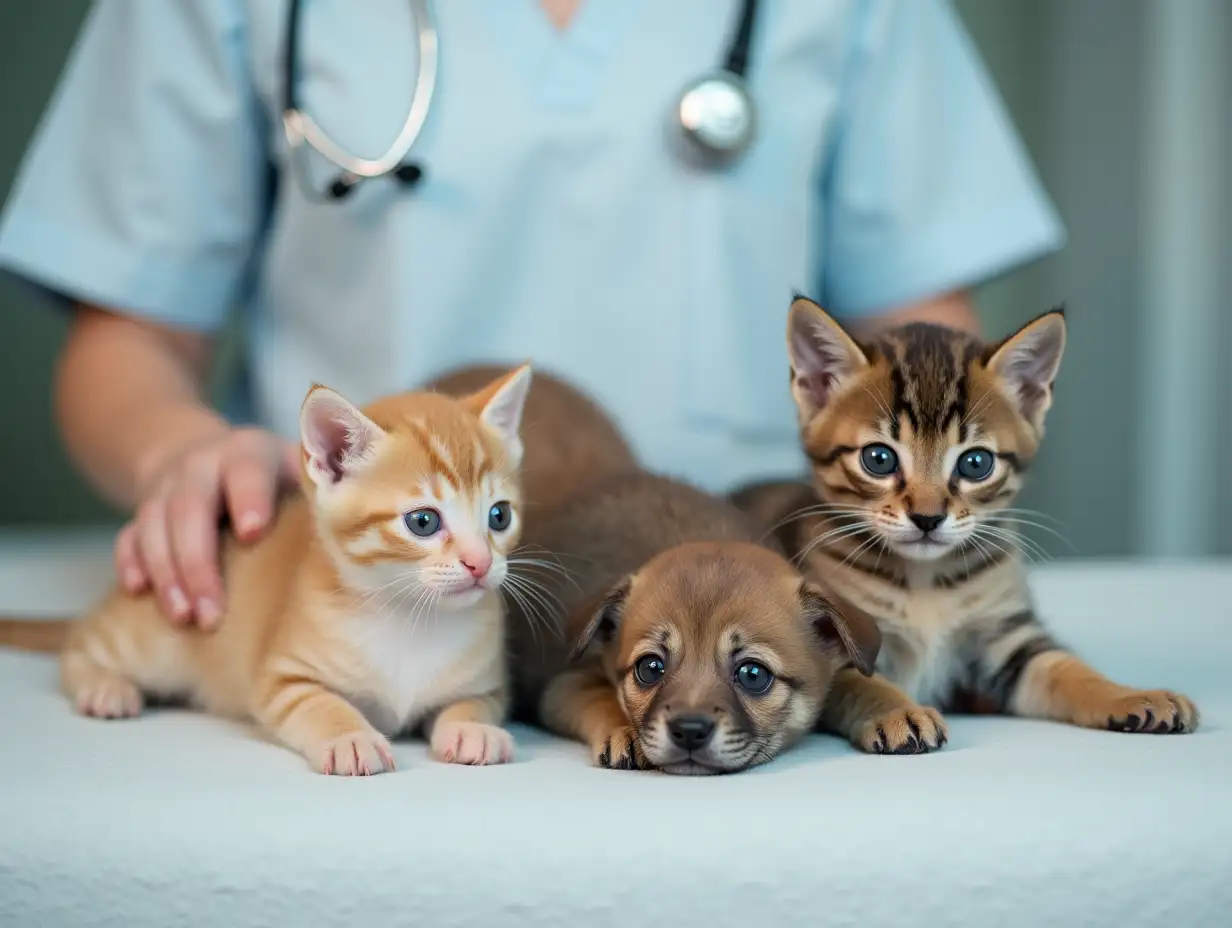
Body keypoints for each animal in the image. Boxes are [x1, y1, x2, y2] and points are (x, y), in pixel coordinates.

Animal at [56, 364, 529, 769]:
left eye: (499, 516)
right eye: (424, 522)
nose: (480, 563)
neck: (411, 616)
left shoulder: (490, 686)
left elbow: (473, 703)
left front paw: (474, 729)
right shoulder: (286, 678)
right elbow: (321, 704)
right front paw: (351, 737)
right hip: (155, 639)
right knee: (80, 643)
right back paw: (104, 687)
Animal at [505, 473, 882, 769]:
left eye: (753, 674)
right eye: (650, 668)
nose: (689, 731)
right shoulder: (562, 685)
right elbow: (600, 696)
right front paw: (624, 731)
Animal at [729, 297, 1192, 754]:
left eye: (975, 463)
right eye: (878, 459)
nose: (928, 517)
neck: (924, 582)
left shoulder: (1009, 641)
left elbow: (1069, 669)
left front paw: (1132, 695)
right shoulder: (837, 644)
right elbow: (865, 683)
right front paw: (899, 711)